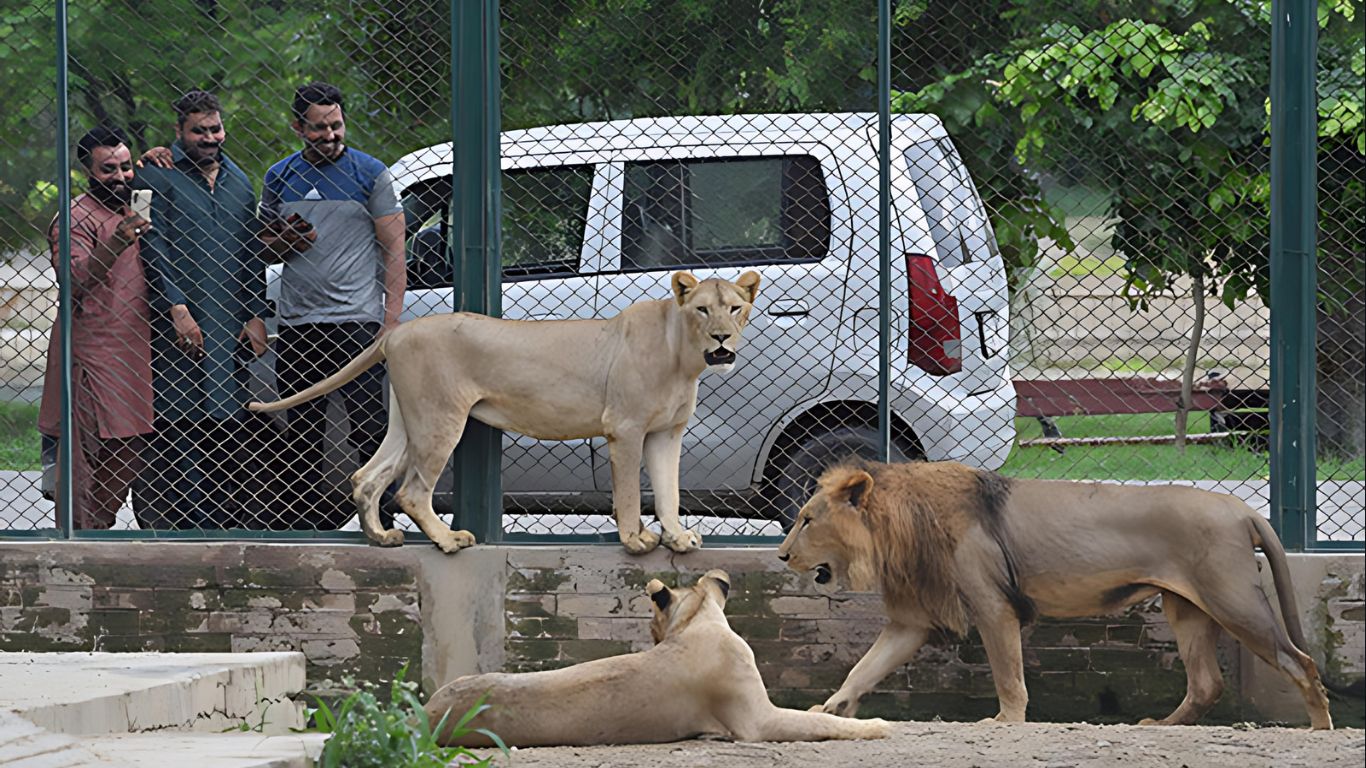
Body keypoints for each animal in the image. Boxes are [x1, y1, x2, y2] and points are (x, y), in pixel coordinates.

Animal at [248, 269, 759, 549]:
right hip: (441, 419)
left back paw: (380, 537)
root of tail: (397, 332)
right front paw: (636, 541)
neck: (683, 356)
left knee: (367, 477)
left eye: (734, 308)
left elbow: (669, 489)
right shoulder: (625, 428)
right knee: (410, 491)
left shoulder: (666, 433)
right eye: (702, 310)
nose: (721, 338)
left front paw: (678, 537)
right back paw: (449, 540)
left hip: (408, 421)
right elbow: (632, 493)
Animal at [426, 565, 890, 743]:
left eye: (652, 625)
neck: (698, 621)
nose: (650, 637)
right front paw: (877, 726)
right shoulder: (758, 720)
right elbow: (824, 722)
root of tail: (426, 713)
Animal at [781, 456, 1333, 727]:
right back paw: (1158, 726)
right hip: (1189, 609)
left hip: (1232, 600)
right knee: (1206, 684)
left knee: (1300, 662)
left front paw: (1005, 721)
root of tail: (1244, 508)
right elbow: (863, 668)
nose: (783, 555)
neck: (896, 527)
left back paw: (1320, 729)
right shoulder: (912, 621)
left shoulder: (993, 606)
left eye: (807, 520)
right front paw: (829, 710)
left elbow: (1008, 675)